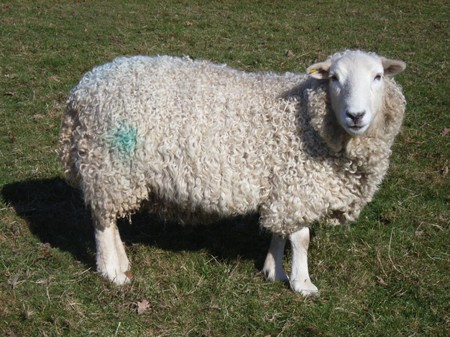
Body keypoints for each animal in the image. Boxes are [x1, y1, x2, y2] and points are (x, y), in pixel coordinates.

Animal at [59, 50, 408, 294]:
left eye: (378, 76)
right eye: (334, 78)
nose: (356, 115)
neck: (306, 118)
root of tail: (82, 90)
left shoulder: (282, 183)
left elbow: (279, 231)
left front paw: (274, 272)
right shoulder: (298, 187)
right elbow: (301, 238)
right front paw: (303, 284)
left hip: (116, 173)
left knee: (111, 218)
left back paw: (122, 262)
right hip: (108, 166)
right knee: (103, 221)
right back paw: (112, 272)